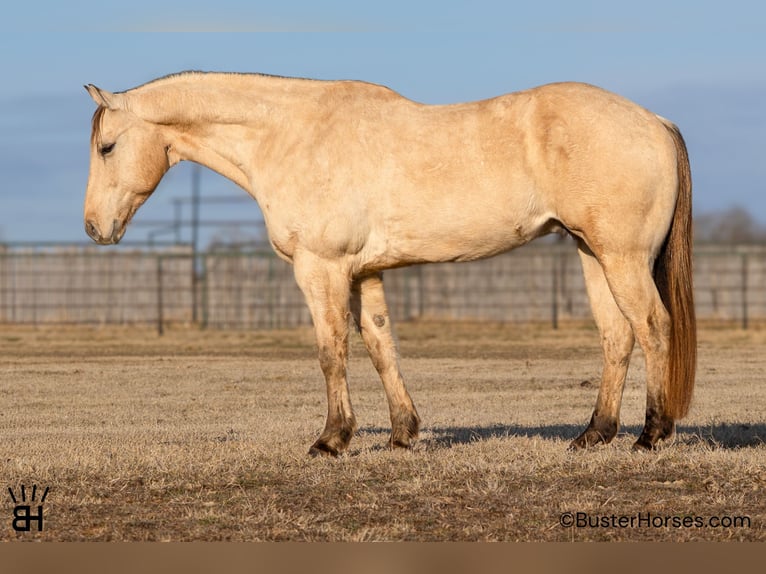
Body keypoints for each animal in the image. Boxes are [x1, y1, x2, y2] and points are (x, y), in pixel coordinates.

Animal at [83, 71, 696, 456]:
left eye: (107, 147)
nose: (94, 228)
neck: (294, 136)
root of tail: (656, 120)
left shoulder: (322, 269)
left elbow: (331, 352)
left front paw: (331, 440)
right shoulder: (363, 272)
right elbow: (381, 345)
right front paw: (404, 435)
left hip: (621, 258)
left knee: (652, 327)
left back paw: (651, 435)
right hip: (593, 254)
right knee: (617, 336)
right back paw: (594, 435)